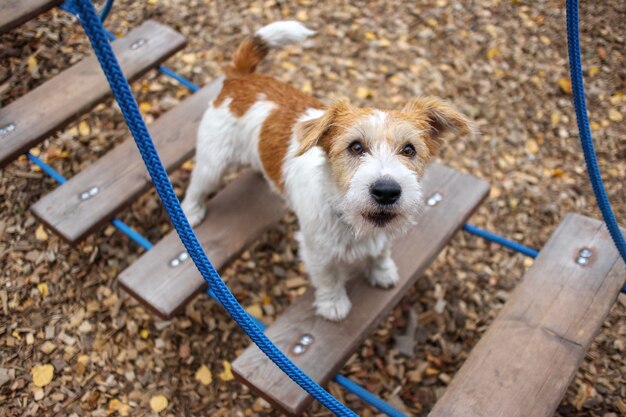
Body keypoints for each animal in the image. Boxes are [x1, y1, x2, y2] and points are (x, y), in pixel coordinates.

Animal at [180, 21, 468, 322]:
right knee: (197, 185)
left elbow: (380, 252)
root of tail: (240, 78)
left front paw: (382, 271)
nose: (387, 191)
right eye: (355, 147)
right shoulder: (317, 250)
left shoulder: (381, 235)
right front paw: (333, 304)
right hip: (213, 163)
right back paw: (192, 212)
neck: (345, 212)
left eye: (409, 150)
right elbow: (328, 276)